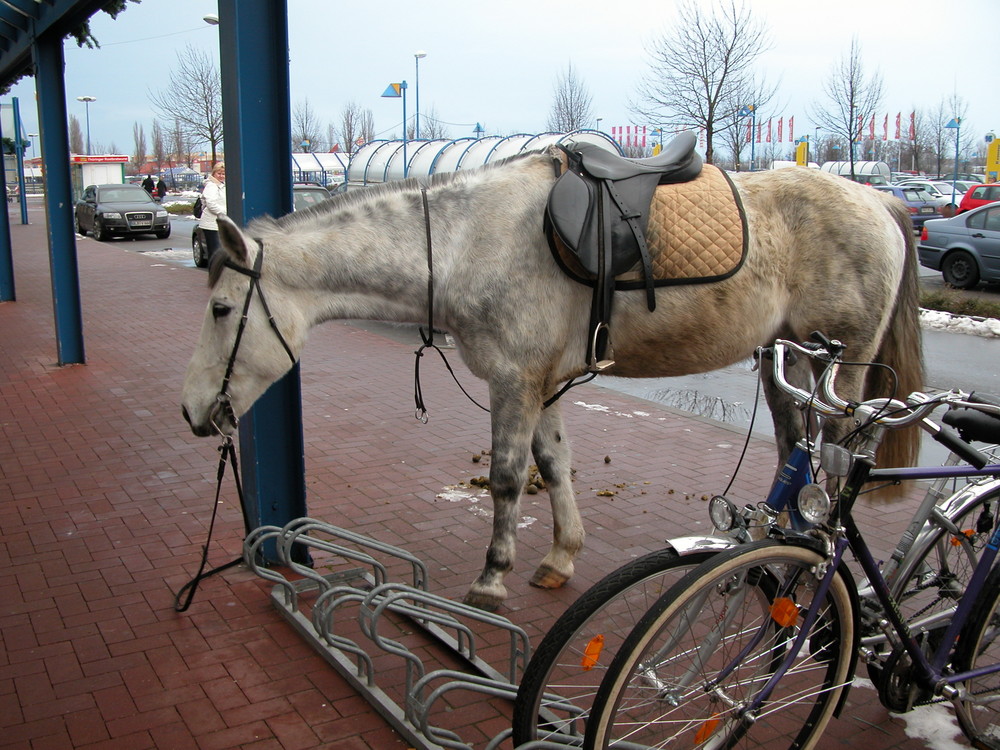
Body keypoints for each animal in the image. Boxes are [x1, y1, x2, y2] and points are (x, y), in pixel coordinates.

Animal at [182, 150, 920, 612]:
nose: (192, 411)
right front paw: (561, 557)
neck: (466, 244)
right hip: (788, 362)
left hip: (840, 366)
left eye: (220, 309)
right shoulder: (543, 385)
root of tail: (878, 200)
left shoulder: (514, 382)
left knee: (839, 450)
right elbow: (554, 463)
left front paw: (492, 577)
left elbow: (509, 478)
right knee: (797, 446)